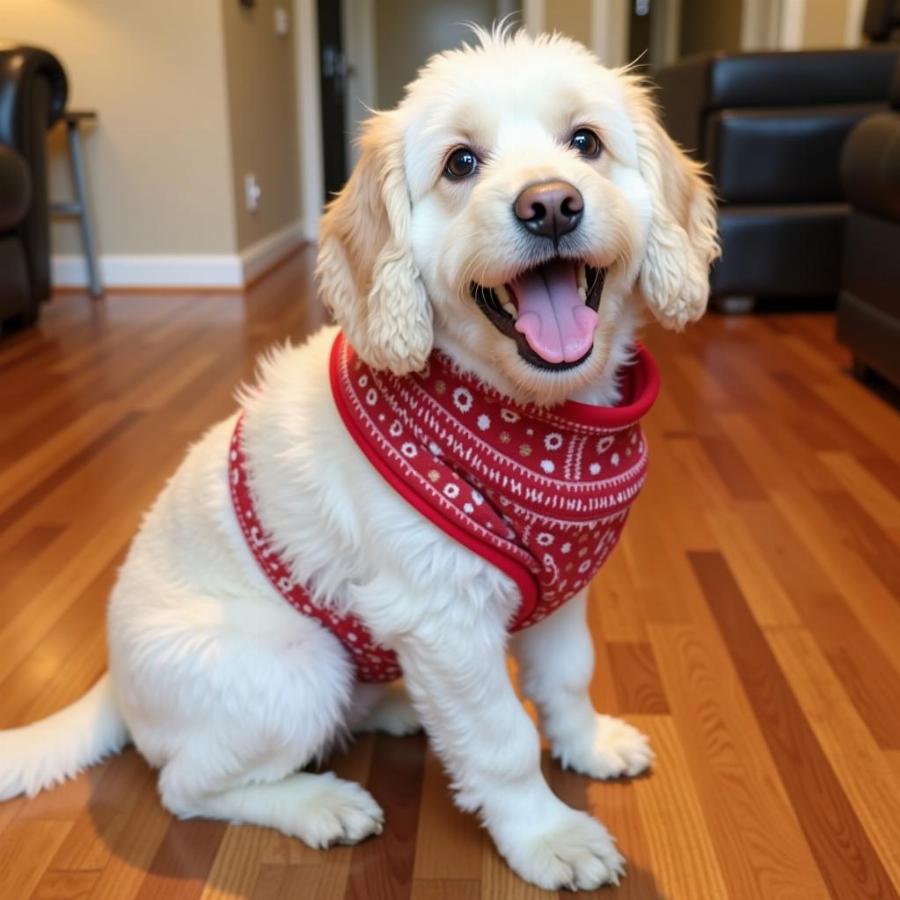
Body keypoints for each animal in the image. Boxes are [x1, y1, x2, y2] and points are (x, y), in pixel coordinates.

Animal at [0, 29, 716, 892]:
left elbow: (566, 681)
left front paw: (588, 744)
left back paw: (399, 709)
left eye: (585, 143)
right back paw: (318, 804)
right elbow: (503, 742)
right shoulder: (445, 622)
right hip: (299, 666)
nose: (551, 204)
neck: (538, 427)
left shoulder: (561, 596)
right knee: (185, 786)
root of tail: (111, 681)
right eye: (461, 163)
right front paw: (548, 837)